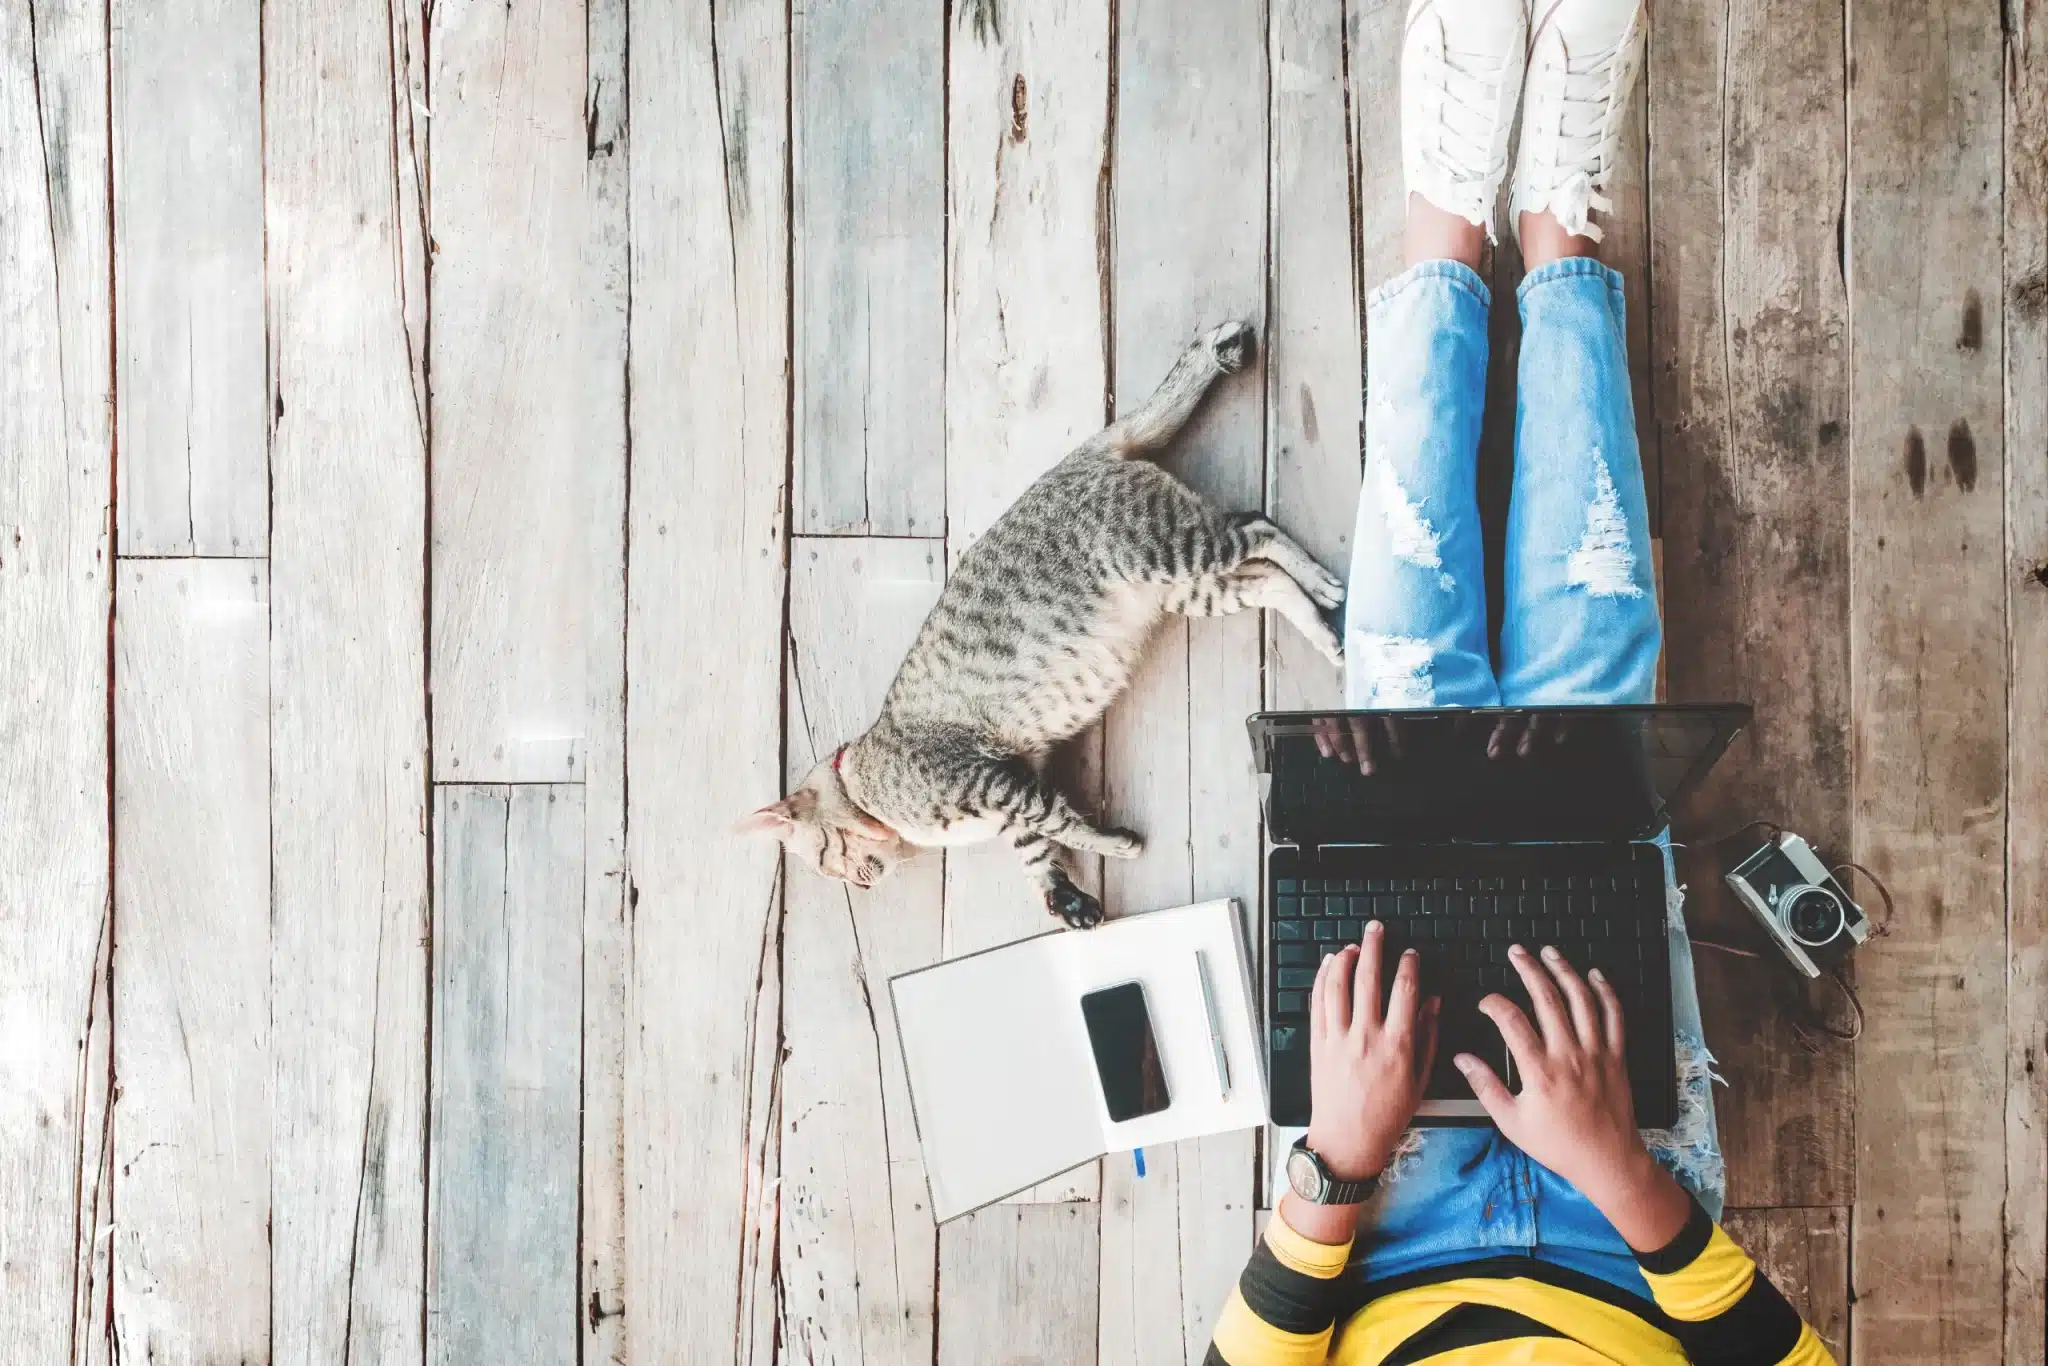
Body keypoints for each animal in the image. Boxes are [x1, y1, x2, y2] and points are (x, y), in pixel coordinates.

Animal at [737, 323, 1343, 929]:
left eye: (822, 860)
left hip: (1170, 549)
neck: (862, 779)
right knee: (1264, 568)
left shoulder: (995, 780)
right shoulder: (1012, 787)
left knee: (1260, 530)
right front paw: (1066, 897)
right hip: (1185, 587)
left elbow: (1058, 819)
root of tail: (1077, 458)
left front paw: (1115, 844)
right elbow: (1035, 849)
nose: (858, 887)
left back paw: (1324, 594)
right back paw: (1319, 611)